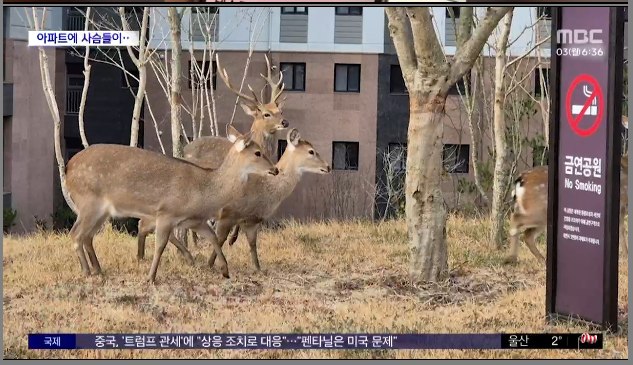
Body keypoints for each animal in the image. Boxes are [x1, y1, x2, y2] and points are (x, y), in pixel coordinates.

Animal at [63, 125, 276, 282]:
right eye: (258, 153)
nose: (274, 169)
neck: (205, 191)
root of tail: (67, 168)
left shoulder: (194, 220)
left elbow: (213, 237)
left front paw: (224, 270)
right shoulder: (167, 212)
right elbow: (160, 245)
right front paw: (151, 277)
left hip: (102, 211)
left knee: (87, 236)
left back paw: (98, 269)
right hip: (89, 202)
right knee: (76, 234)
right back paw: (87, 271)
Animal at [504, 116, 628, 262]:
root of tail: (520, 181)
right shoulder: (622, 203)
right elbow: (622, 230)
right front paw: (626, 255)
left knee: (527, 234)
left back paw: (539, 259)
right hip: (539, 209)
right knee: (516, 219)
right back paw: (512, 257)